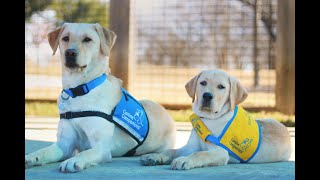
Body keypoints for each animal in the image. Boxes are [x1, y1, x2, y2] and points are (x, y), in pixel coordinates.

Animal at [24, 23, 176, 172]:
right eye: (65, 38)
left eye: (87, 39)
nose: (70, 52)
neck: (80, 90)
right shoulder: (64, 144)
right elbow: (44, 151)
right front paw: (32, 157)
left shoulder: (101, 147)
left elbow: (86, 152)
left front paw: (74, 160)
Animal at [141, 68, 292, 169]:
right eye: (202, 83)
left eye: (221, 87)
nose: (207, 96)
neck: (209, 119)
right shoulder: (190, 147)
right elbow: (171, 150)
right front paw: (155, 156)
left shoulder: (220, 152)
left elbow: (200, 154)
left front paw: (184, 160)